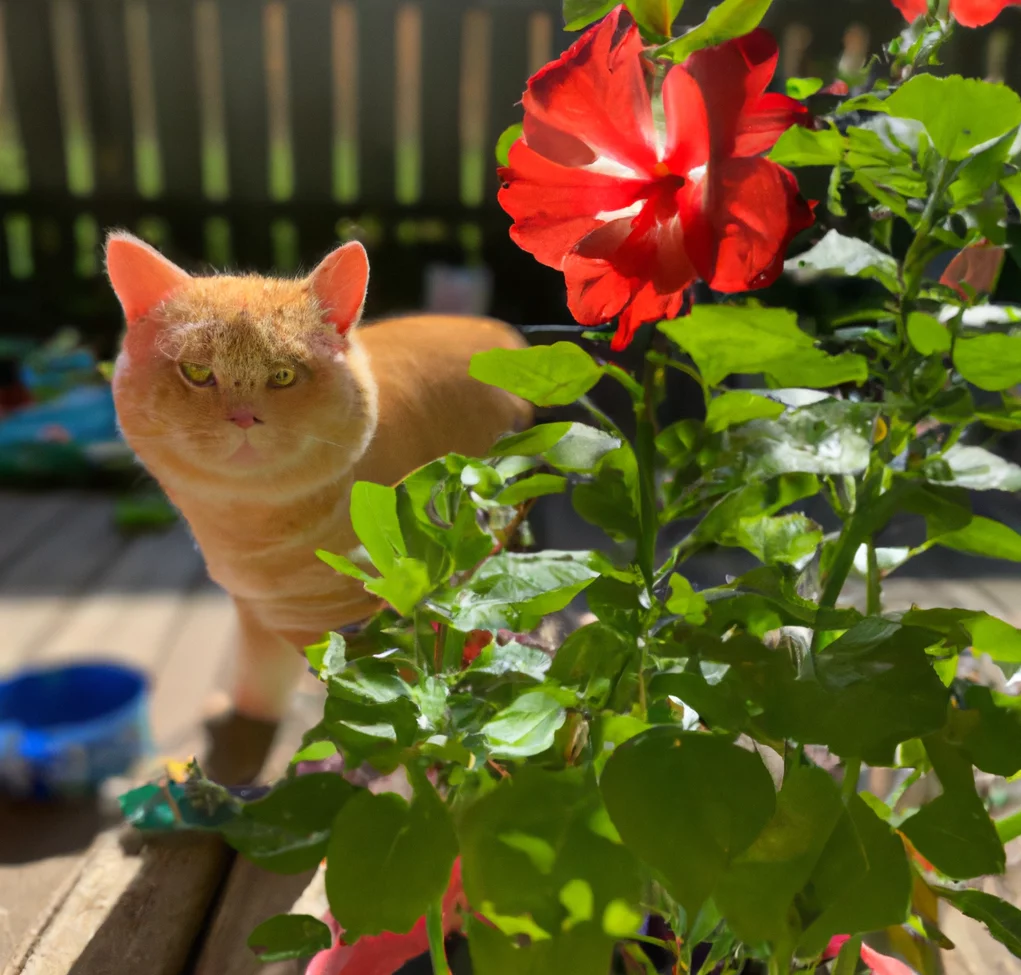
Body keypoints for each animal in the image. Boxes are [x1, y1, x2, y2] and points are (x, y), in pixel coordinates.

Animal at [107, 234, 530, 722]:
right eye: (196, 372)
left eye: (283, 375)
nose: (243, 418)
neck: (256, 532)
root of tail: (500, 329)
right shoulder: (260, 616)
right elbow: (257, 686)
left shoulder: (379, 627)